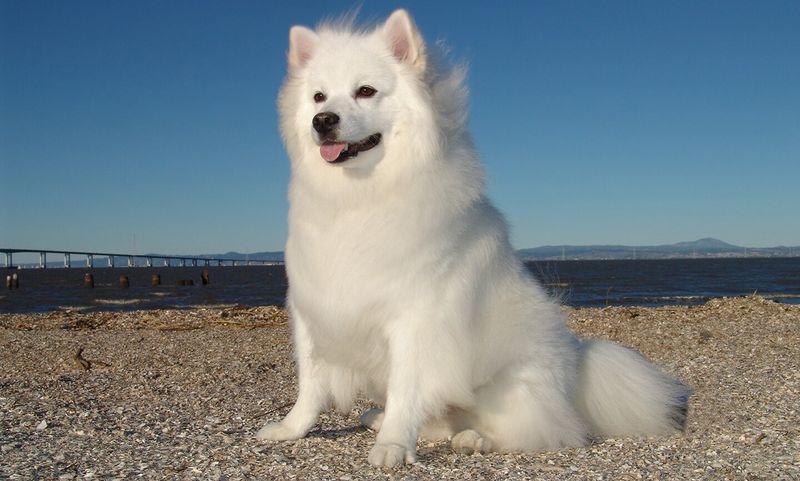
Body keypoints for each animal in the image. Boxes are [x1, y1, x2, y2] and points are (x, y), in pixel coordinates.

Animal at [258, 10, 688, 468]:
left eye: (366, 91)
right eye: (319, 97)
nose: (323, 121)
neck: (358, 198)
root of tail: (575, 378)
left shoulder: (415, 321)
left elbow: (405, 390)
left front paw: (393, 445)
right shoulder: (313, 309)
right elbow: (310, 385)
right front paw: (291, 430)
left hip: (510, 388)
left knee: (538, 431)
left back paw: (474, 439)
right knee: (439, 421)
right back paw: (379, 417)